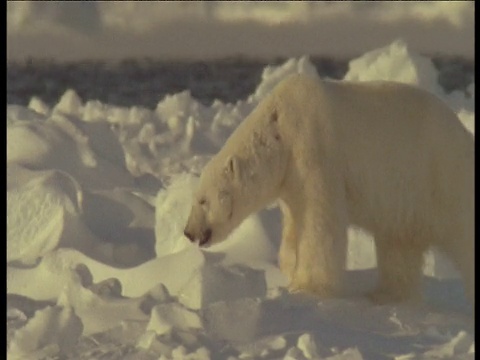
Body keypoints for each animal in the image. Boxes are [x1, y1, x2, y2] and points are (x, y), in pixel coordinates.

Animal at [182, 74, 474, 306]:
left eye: (203, 200)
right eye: (196, 199)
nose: (188, 232)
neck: (280, 131)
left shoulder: (313, 152)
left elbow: (319, 223)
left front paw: (308, 287)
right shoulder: (289, 179)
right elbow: (293, 224)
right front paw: (288, 268)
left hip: (442, 177)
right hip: (406, 199)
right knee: (398, 244)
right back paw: (384, 294)